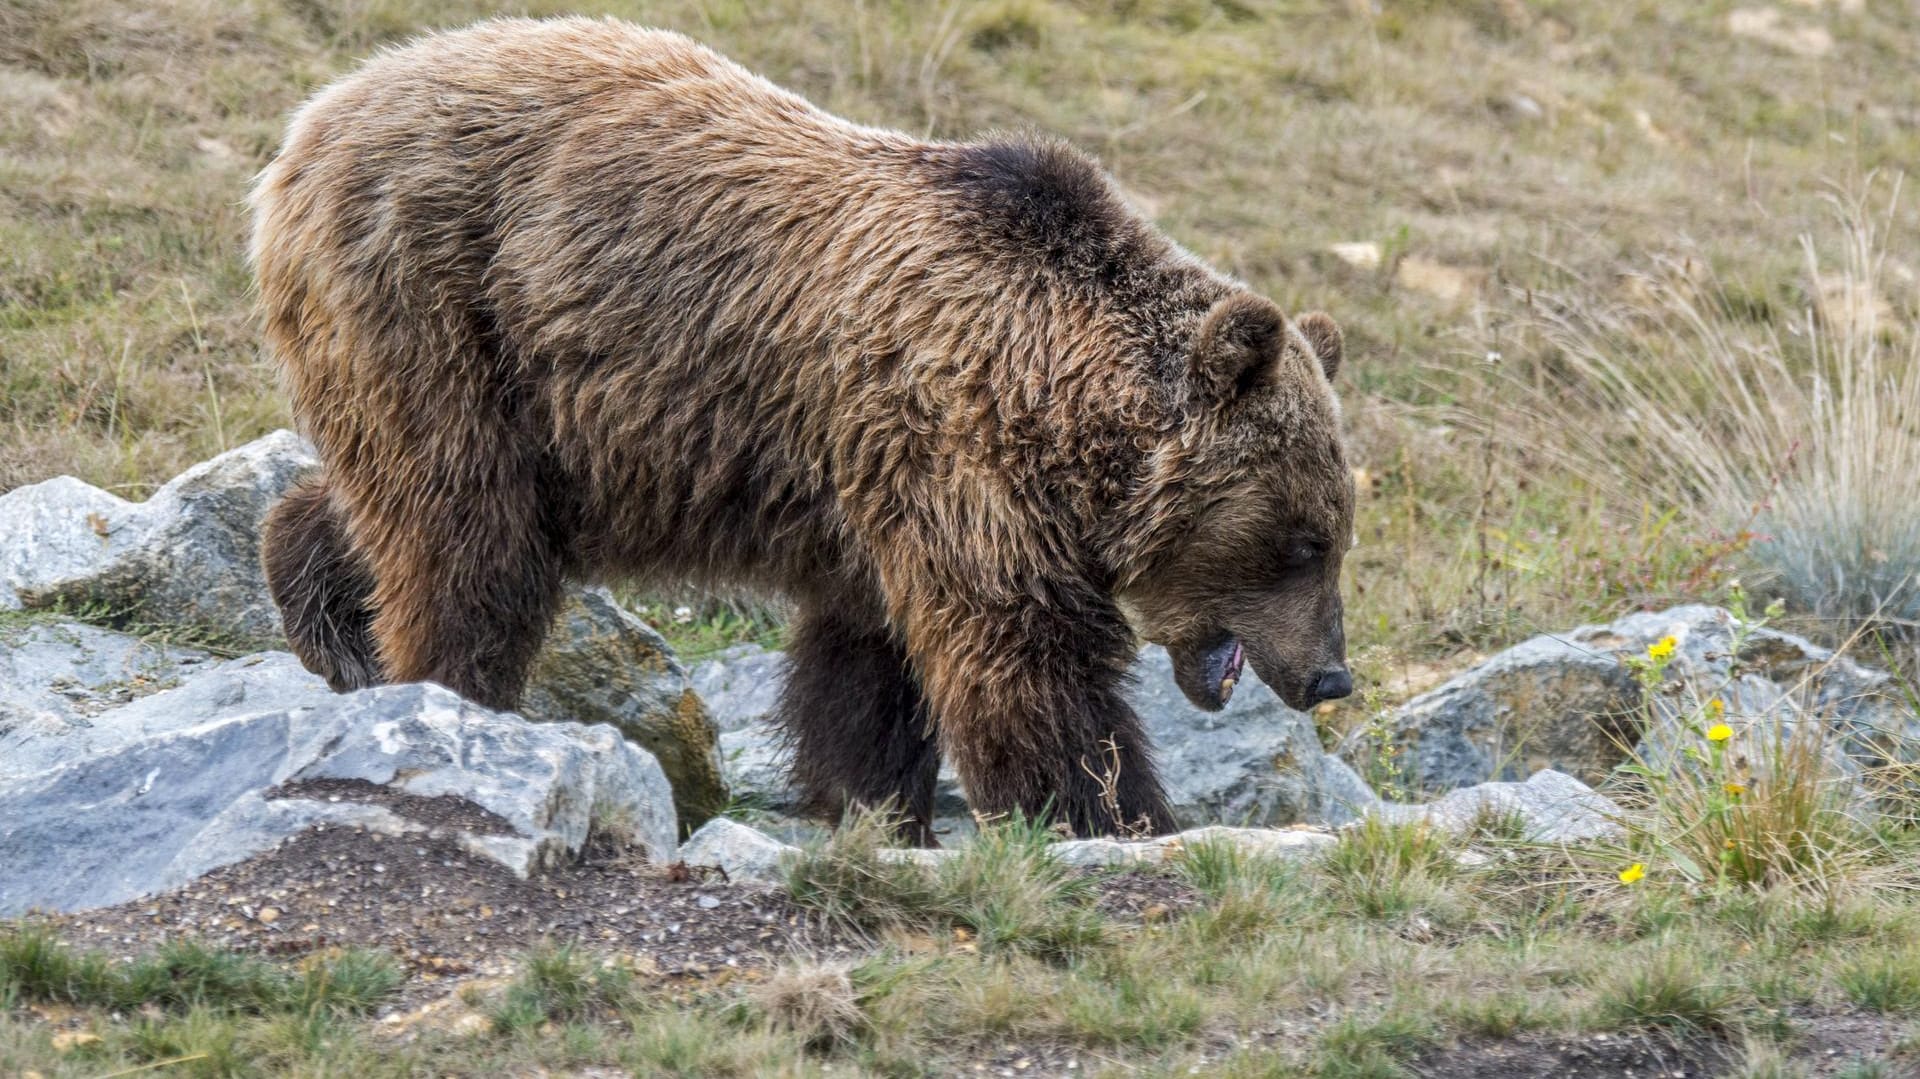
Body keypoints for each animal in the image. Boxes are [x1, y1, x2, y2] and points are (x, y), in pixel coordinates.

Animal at [255, 16, 1359, 840]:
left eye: (1336, 534)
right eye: (1304, 539)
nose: (1330, 674)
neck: (1059, 400)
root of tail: (312, 119)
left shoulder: (874, 485)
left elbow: (868, 666)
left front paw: (878, 807)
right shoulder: (953, 453)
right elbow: (1026, 656)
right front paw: (1112, 810)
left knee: (399, 502)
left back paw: (328, 614)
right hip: (441, 300)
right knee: (468, 533)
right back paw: (447, 690)